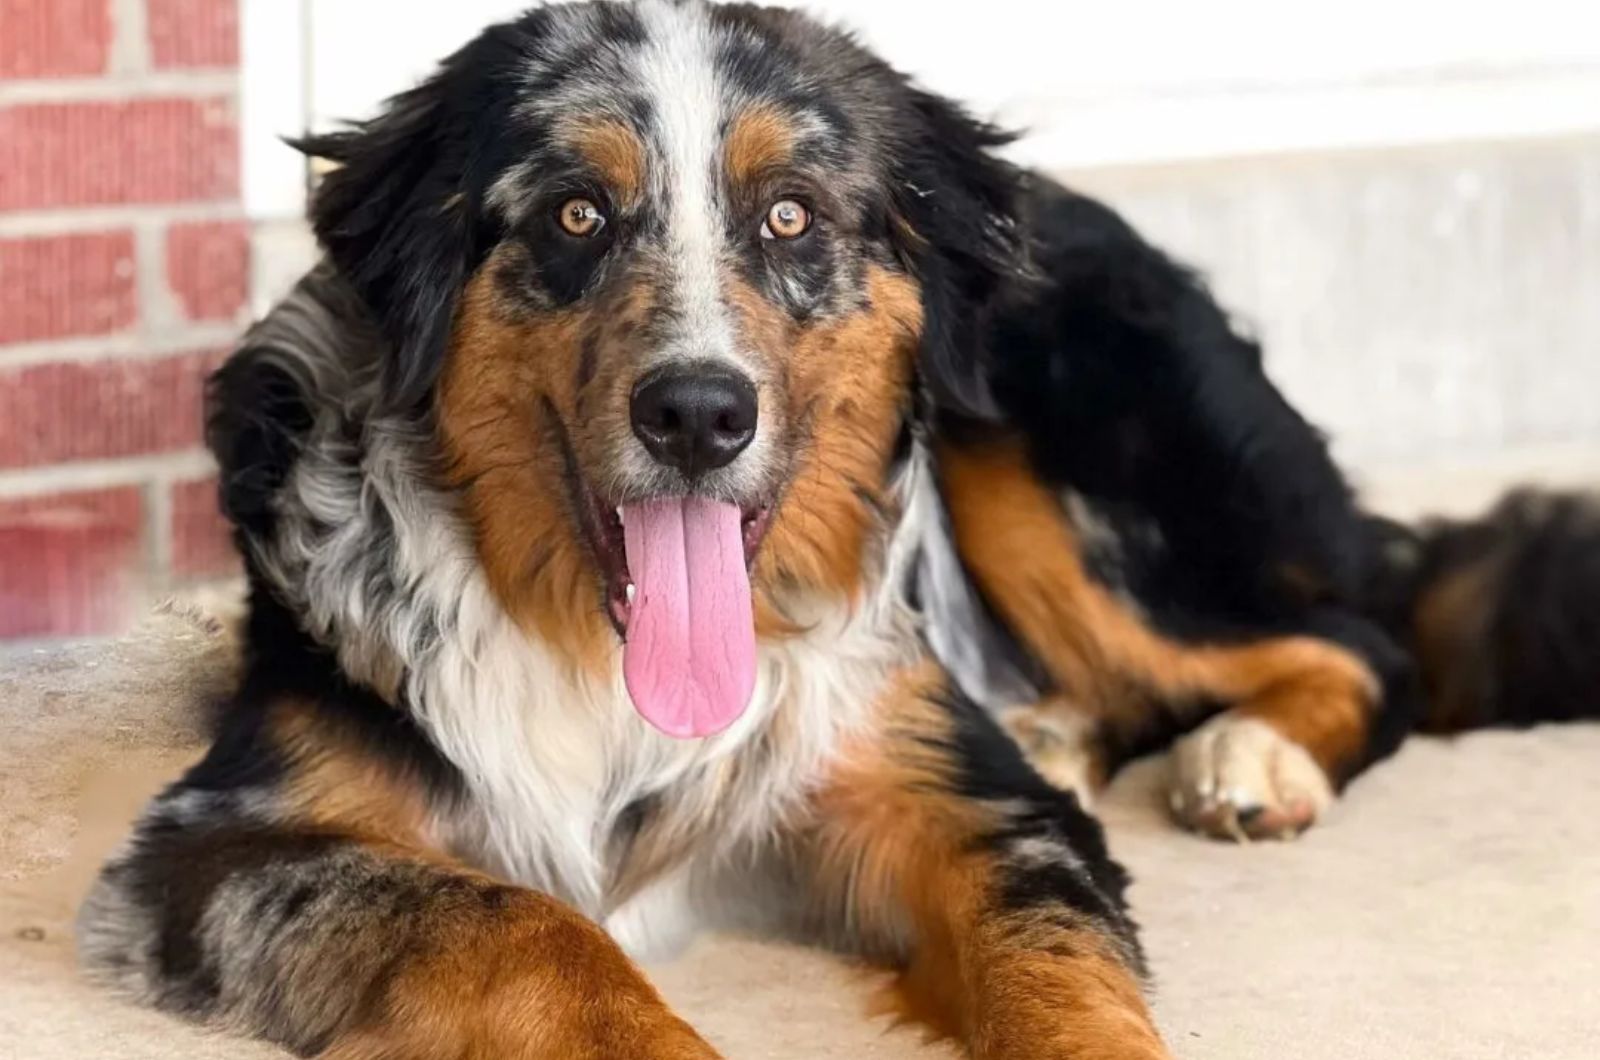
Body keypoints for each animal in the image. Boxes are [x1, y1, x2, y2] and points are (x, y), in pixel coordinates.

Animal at [78, 4, 1600, 1056]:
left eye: (791, 216)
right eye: (576, 212)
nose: (699, 414)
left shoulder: (960, 801)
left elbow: (1061, 965)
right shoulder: (226, 839)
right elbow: (526, 922)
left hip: (1039, 452)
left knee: (1363, 641)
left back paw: (1250, 756)